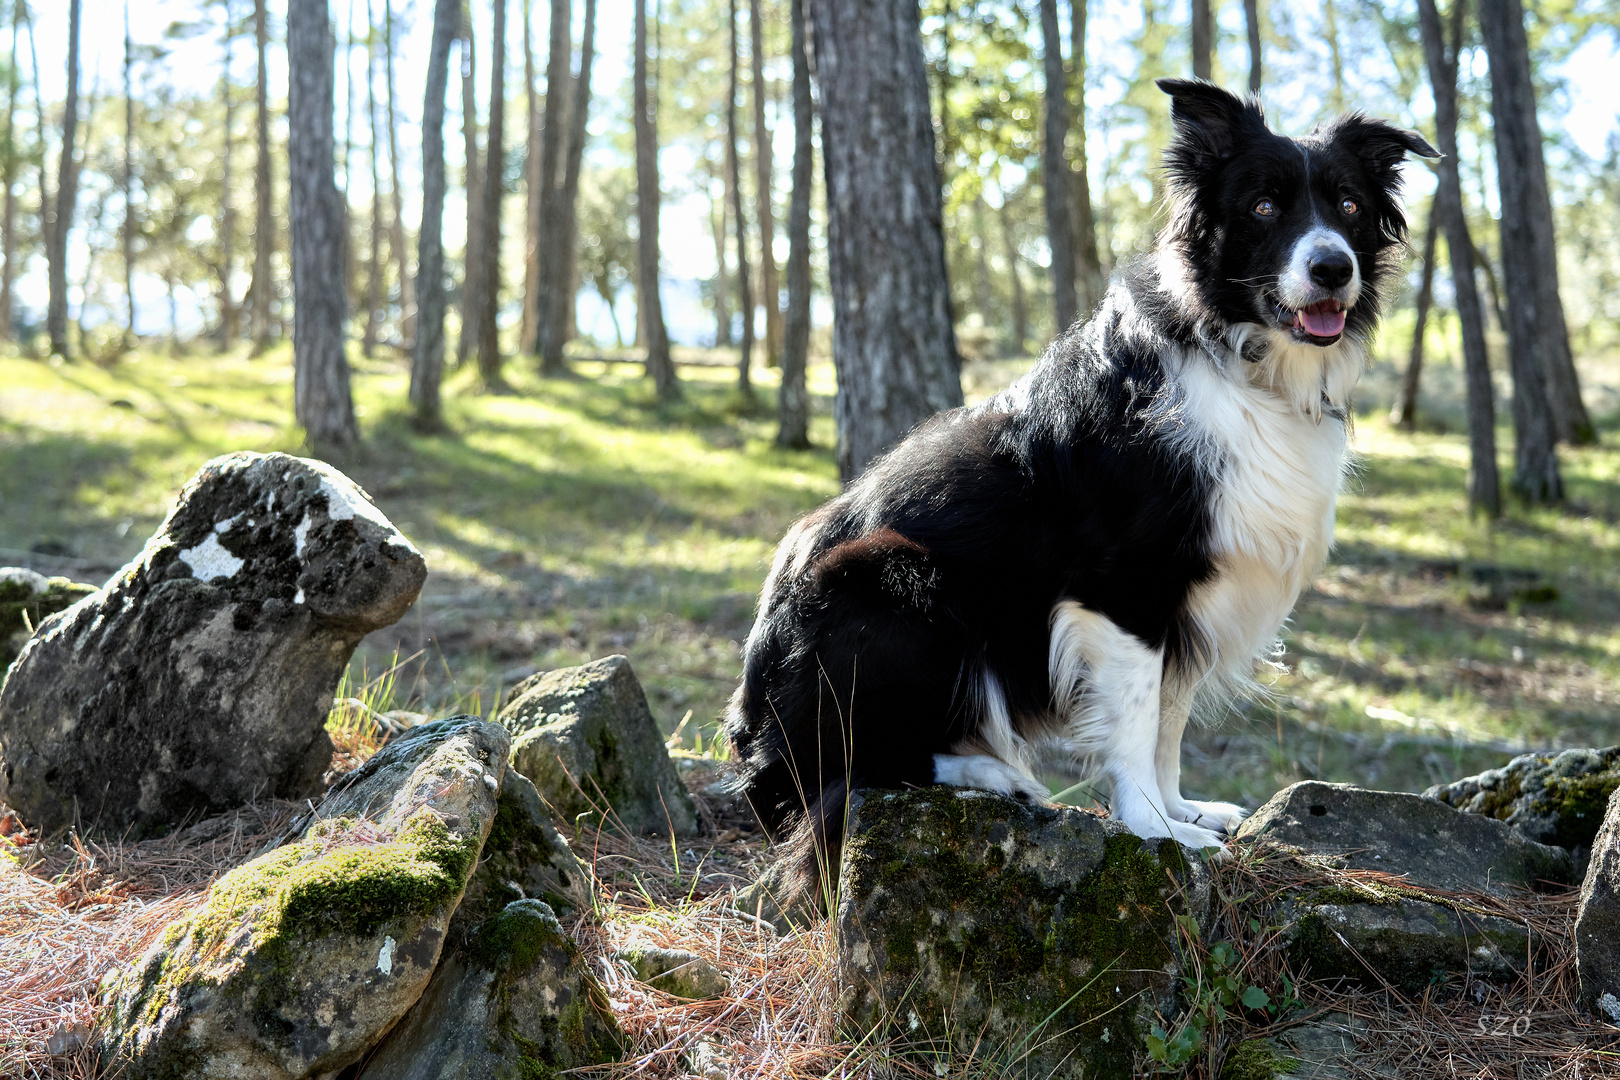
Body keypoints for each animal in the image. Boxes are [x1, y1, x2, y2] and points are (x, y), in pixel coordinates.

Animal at [729, 82, 1438, 880]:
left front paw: (1182, 809)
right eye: (1263, 206)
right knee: (840, 770)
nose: (1333, 270)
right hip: (893, 585)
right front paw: (1154, 826)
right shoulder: (1126, 587)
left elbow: (1167, 720)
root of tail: (753, 727)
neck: (1242, 359)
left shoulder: (1190, 597)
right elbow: (1133, 722)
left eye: (1348, 205)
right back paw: (991, 772)